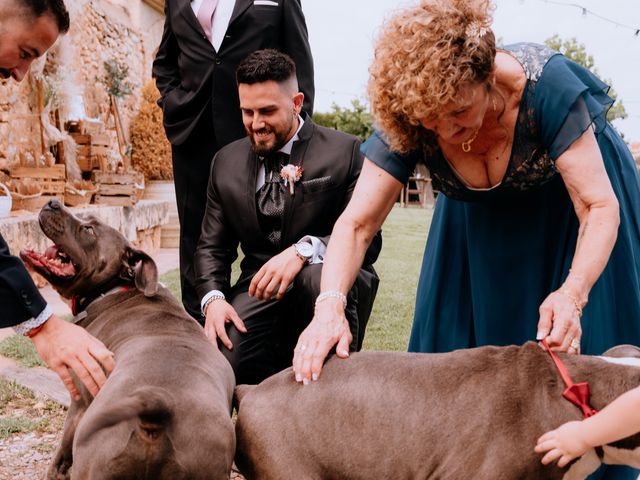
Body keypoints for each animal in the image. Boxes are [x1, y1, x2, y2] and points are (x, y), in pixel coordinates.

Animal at [21, 200, 238, 480]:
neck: (116, 287)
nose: (53, 202)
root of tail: (156, 410)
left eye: (89, 229)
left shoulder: (78, 403)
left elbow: (60, 455)